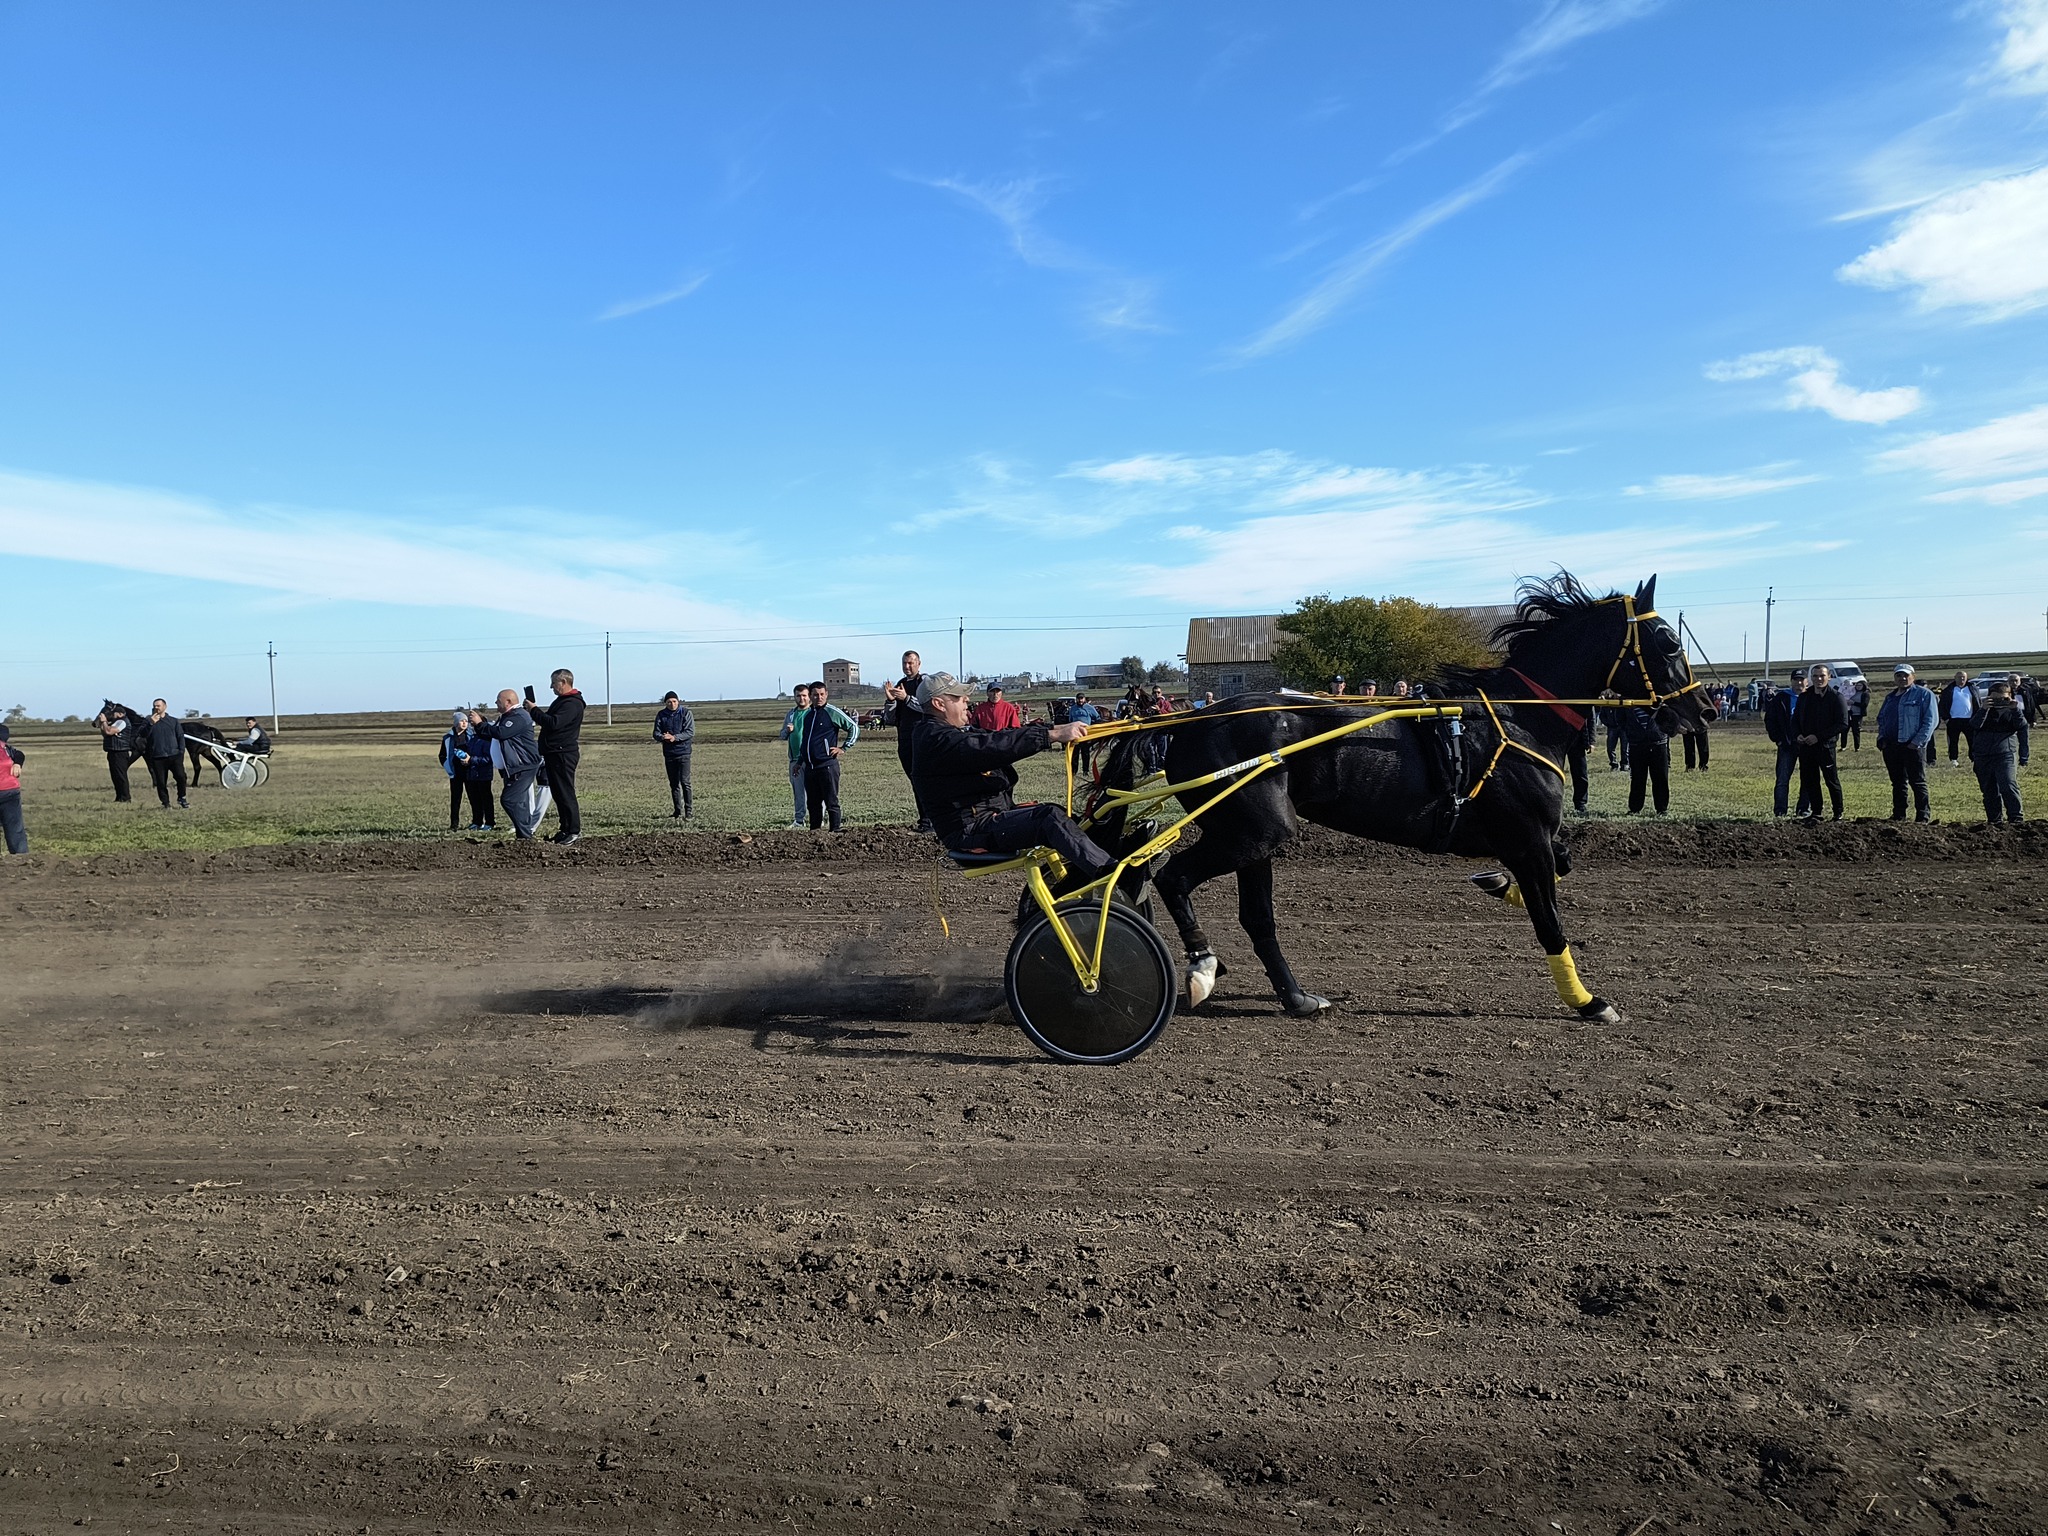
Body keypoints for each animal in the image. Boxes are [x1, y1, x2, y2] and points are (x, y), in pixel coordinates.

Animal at [96, 704, 233, 786]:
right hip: (205, 751)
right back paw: (222, 780)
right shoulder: (146, 753)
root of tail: (206, 727)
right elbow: (151, 769)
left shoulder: (137, 751)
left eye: (105, 710)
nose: (94, 723)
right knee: (217, 763)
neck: (139, 729)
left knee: (198, 767)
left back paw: (194, 784)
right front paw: (155, 784)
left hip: (194, 752)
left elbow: (127, 765)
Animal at [1089, 573, 1712, 1028]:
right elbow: (1550, 920)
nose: (1701, 709)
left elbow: (1560, 867)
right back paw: (1200, 965)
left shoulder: (1530, 840)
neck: (1519, 719)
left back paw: (1295, 997)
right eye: (1668, 642)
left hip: (1253, 836)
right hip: (1254, 829)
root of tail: (1187, 722)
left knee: (1252, 916)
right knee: (1171, 876)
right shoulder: (1528, 838)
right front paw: (1588, 1002)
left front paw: (1496, 883)